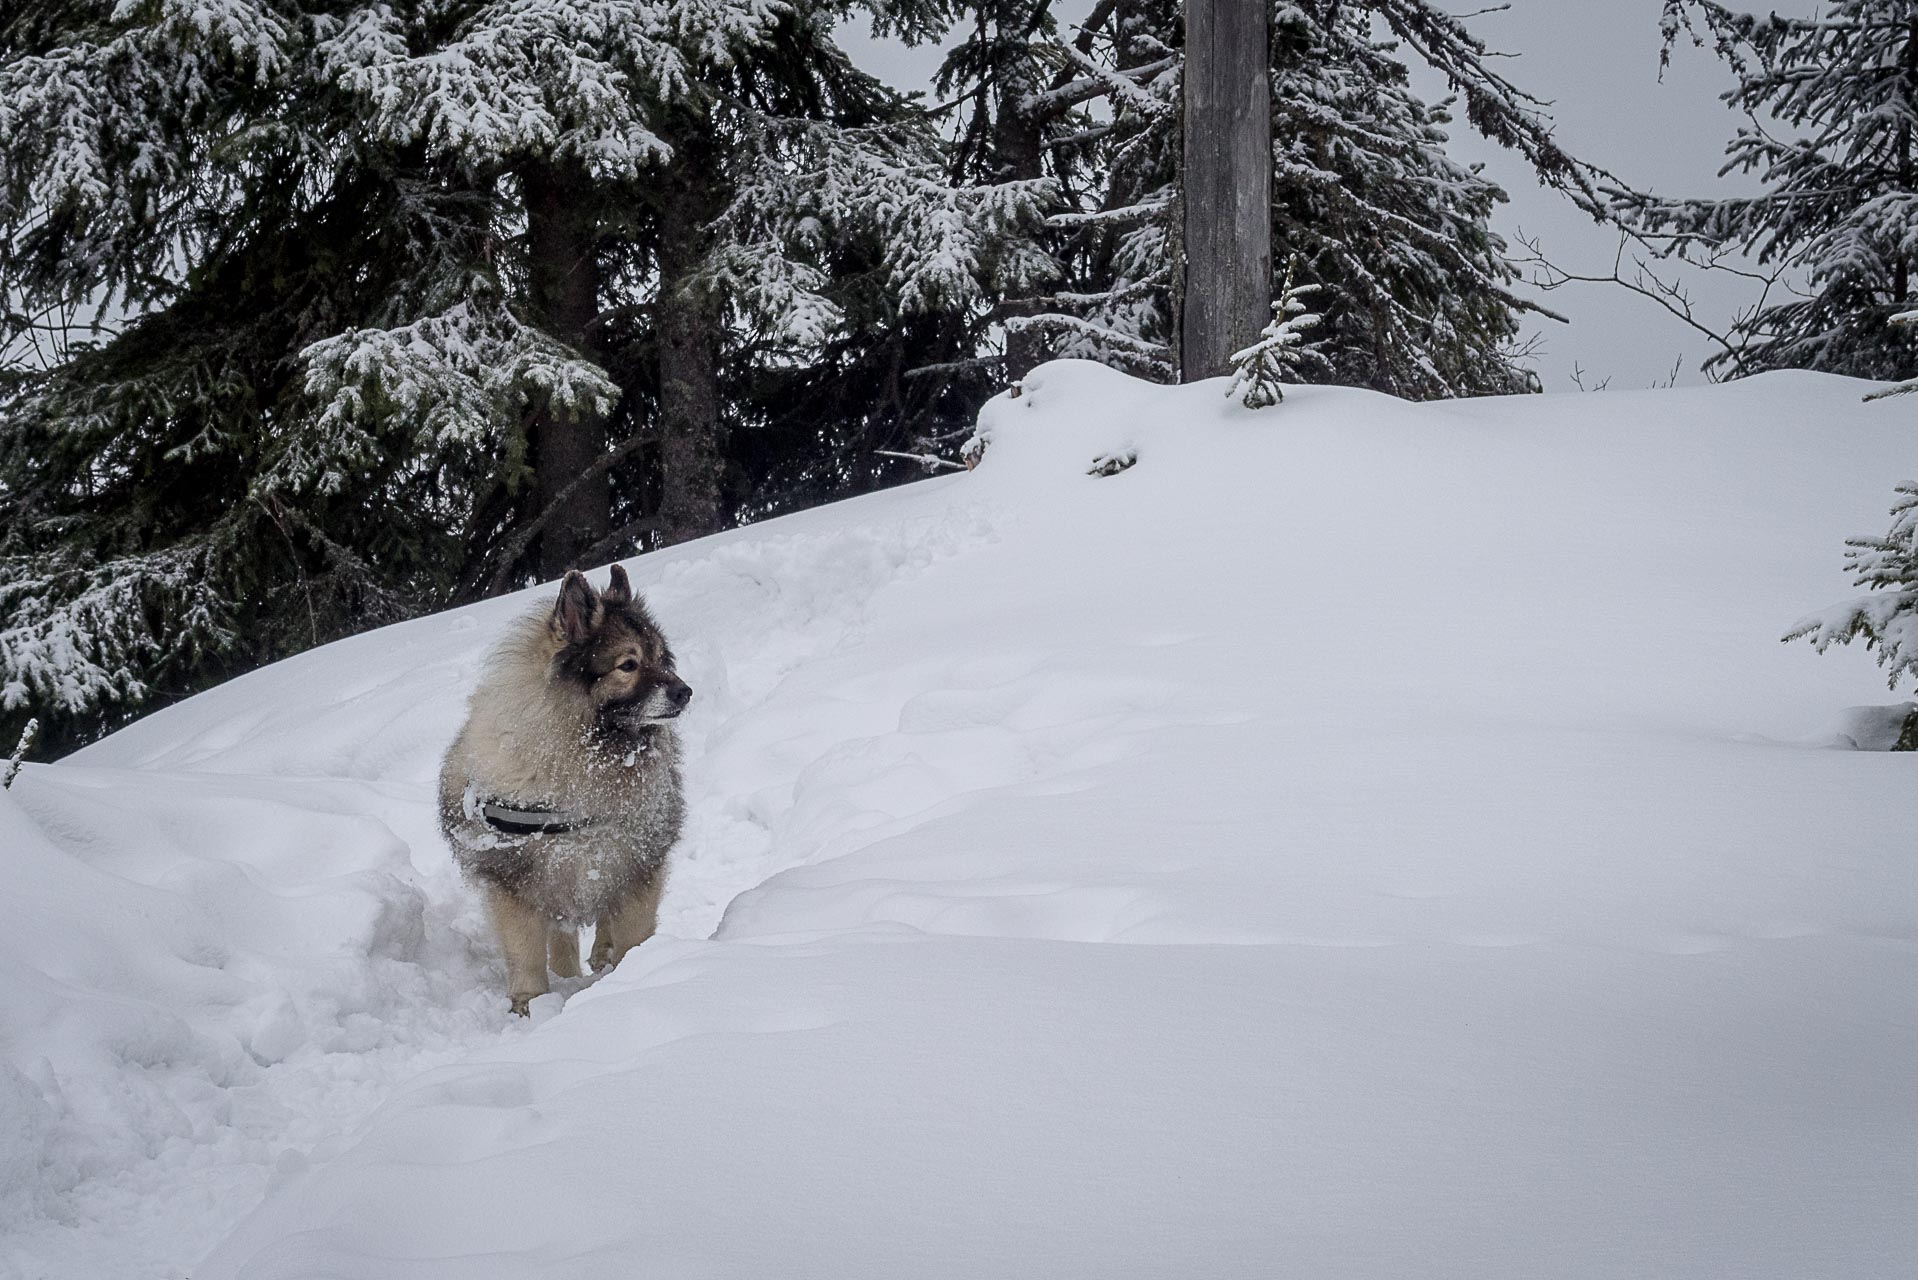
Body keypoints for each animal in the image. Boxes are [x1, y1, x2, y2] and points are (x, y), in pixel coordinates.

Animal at [439, 564, 694, 1013]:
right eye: (628, 664)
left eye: (661, 658)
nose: (685, 691)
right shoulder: (517, 883)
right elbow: (527, 956)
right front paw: (529, 1008)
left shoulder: (633, 866)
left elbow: (633, 934)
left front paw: (635, 977)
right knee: (560, 936)